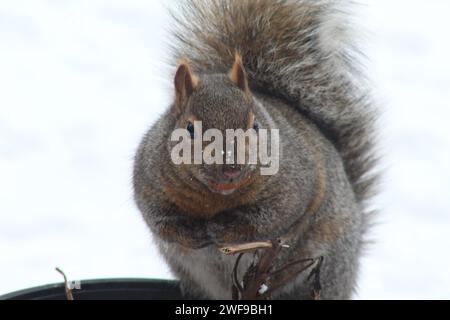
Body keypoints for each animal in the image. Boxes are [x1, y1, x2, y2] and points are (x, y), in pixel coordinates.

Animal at [133, 0, 376, 300]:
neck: (215, 200)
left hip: (325, 267)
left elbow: (267, 219)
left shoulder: (296, 184)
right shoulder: (148, 182)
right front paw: (193, 233)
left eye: (255, 125)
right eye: (189, 128)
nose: (230, 168)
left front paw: (221, 228)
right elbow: (159, 220)